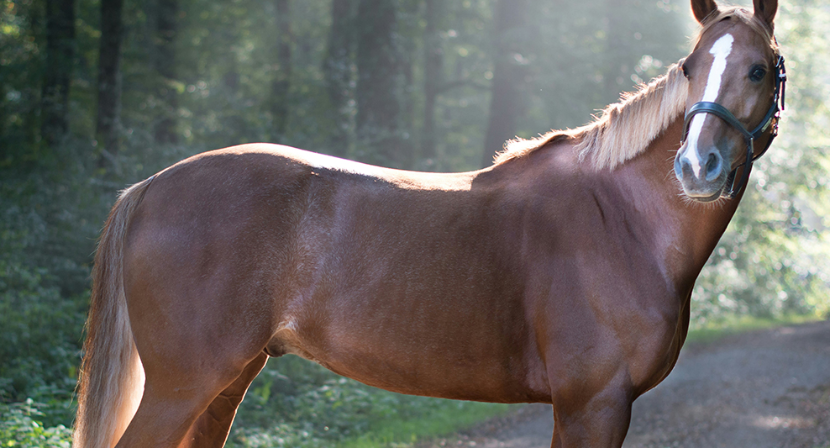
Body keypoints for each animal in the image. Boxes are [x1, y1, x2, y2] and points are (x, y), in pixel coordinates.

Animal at [72, 0, 786, 446]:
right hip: (182, 386)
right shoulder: (594, 404)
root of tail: (150, 187)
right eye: (691, 69)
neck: (622, 222)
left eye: (758, 69)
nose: (696, 167)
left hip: (224, 381)